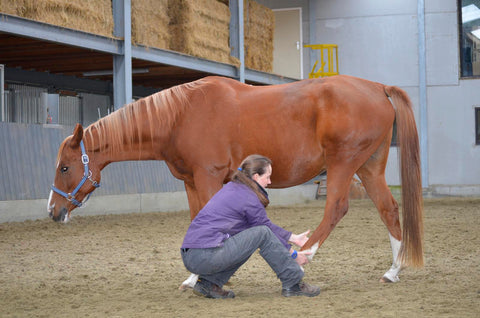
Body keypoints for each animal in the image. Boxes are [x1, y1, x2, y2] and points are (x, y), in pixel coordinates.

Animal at [47, 75, 424, 284]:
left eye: (64, 167)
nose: (53, 211)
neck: (180, 116)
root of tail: (379, 88)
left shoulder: (208, 177)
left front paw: (203, 274)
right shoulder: (191, 182)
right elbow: (198, 219)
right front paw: (193, 274)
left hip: (343, 163)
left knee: (337, 207)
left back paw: (302, 259)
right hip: (368, 167)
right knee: (389, 209)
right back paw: (393, 271)